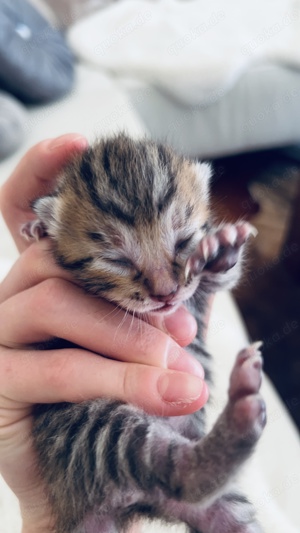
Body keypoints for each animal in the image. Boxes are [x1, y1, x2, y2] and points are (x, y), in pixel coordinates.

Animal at [22, 134, 266, 532]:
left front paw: (222, 250)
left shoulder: (200, 295)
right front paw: (34, 228)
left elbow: (220, 278)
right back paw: (242, 407)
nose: (166, 293)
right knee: (177, 476)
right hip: (93, 427)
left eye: (184, 241)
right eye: (116, 260)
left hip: (224, 506)